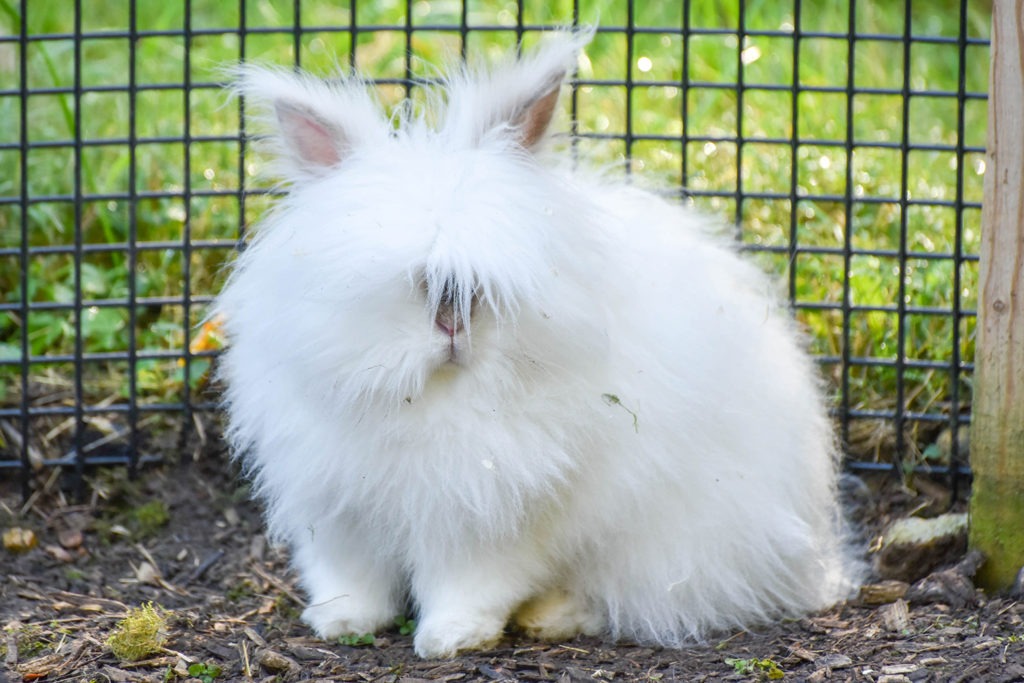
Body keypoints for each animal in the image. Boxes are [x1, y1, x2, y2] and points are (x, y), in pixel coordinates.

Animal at [211, 29, 860, 659]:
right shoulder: (337, 511)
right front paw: (338, 621)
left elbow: (470, 583)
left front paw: (449, 639)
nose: (452, 323)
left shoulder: (492, 517)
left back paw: (551, 617)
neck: (438, 400)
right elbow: (350, 576)